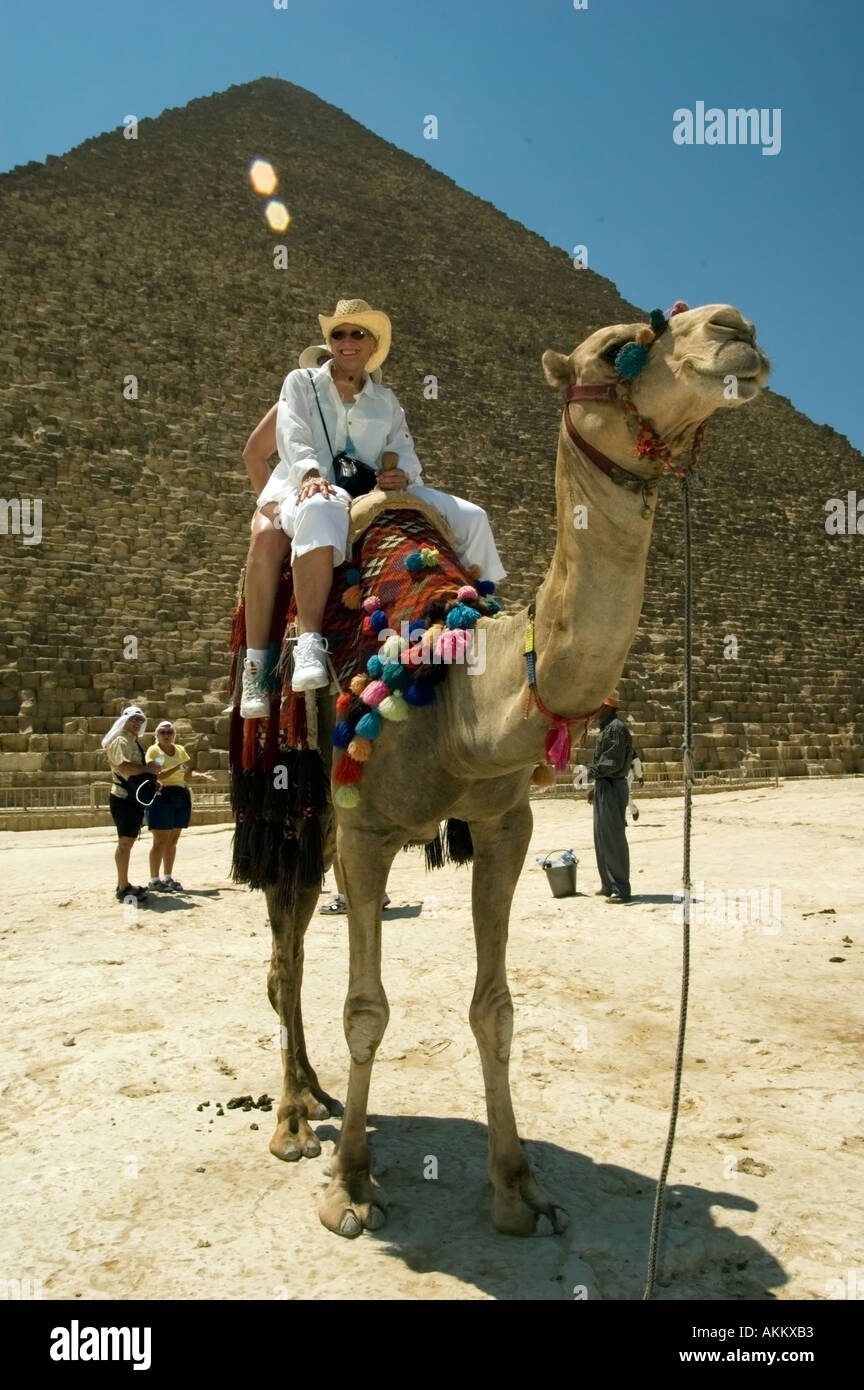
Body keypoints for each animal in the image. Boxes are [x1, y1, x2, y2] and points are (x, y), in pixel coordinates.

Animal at [257, 303, 770, 1238]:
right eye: (622, 347)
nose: (736, 328)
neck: (459, 685)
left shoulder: (504, 825)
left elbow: (495, 1009)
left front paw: (517, 1187)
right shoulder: (367, 830)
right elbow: (367, 1011)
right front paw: (350, 1185)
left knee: (293, 949)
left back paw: (312, 1094)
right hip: (293, 799)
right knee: (286, 954)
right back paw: (293, 1118)